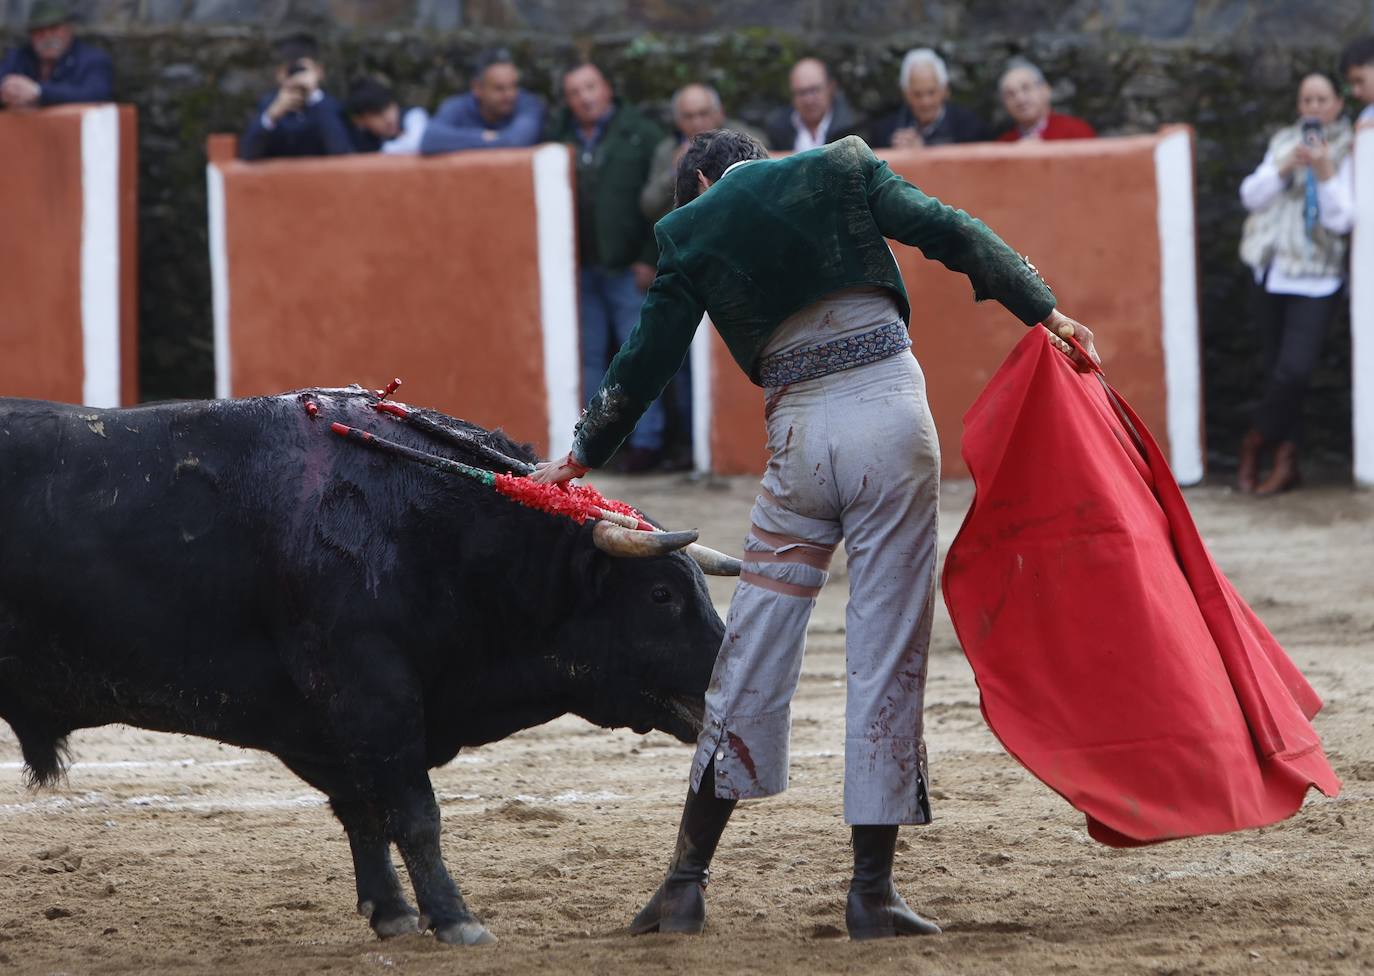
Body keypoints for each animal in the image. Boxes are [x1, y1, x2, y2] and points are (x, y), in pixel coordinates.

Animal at [0, 390, 730, 945]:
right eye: (661, 595)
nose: (721, 679)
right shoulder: (369, 693)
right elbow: (414, 812)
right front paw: (456, 919)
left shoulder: (329, 723)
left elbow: (364, 812)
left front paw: (394, 913)